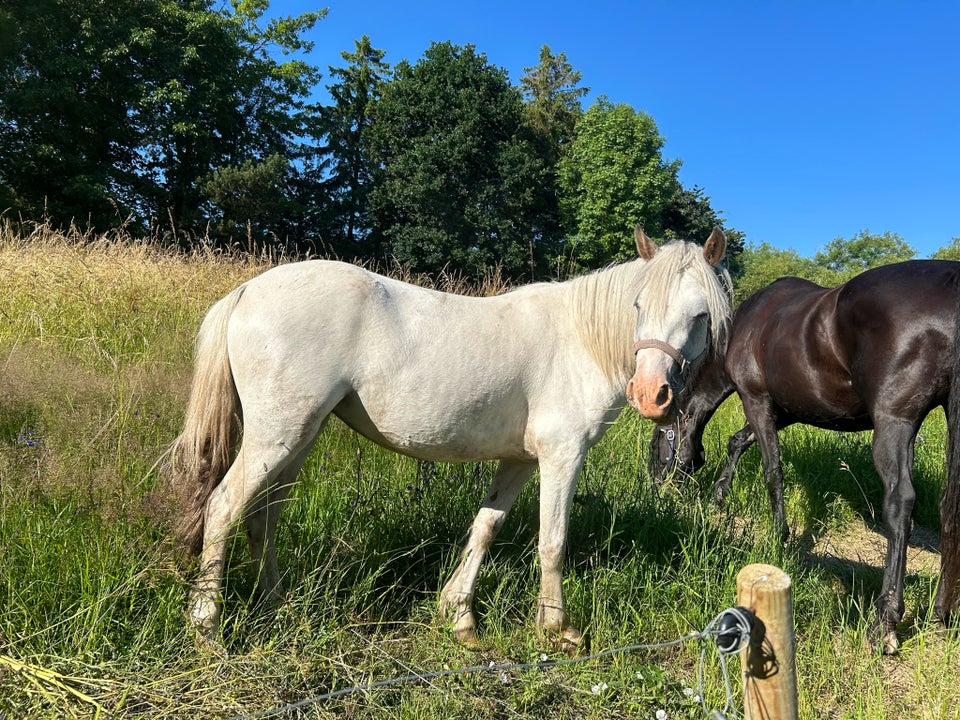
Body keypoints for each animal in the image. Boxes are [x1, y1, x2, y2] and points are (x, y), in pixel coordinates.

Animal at [171, 228, 728, 648]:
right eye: (638, 304)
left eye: (700, 315)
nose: (650, 395)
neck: (579, 340)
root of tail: (247, 291)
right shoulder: (562, 457)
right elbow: (552, 541)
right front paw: (557, 629)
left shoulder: (521, 461)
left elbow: (486, 527)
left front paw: (459, 617)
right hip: (275, 438)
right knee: (223, 507)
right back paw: (207, 631)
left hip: (298, 437)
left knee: (263, 516)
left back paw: (277, 605)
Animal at [652, 262, 960, 652]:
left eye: (660, 443)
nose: (659, 491)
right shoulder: (786, 409)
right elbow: (738, 442)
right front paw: (719, 494)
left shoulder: (756, 400)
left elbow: (772, 469)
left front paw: (778, 535)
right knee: (949, 508)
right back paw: (942, 616)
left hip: (895, 422)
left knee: (899, 503)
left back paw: (885, 621)